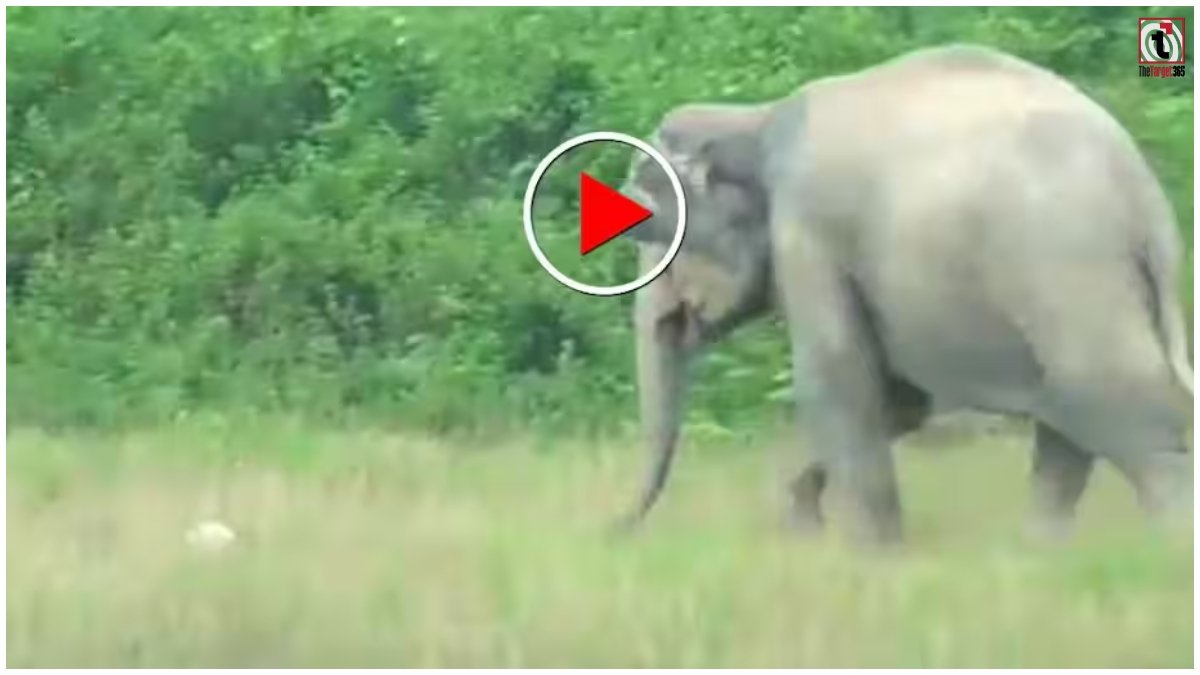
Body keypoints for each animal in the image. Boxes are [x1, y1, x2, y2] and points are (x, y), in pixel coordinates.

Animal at [620, 44, 1193, 544]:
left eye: (649, 229)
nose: (617, 532)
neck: (755, 120)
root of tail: (1140, 192)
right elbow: (900, 398)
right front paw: (803, 520)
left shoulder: (809, 230)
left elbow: (838, 375)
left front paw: (873, 555)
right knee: (1066, 424)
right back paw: (1040, 552)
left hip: (1066, 269)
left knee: (1118, 407)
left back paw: (1165, 550)